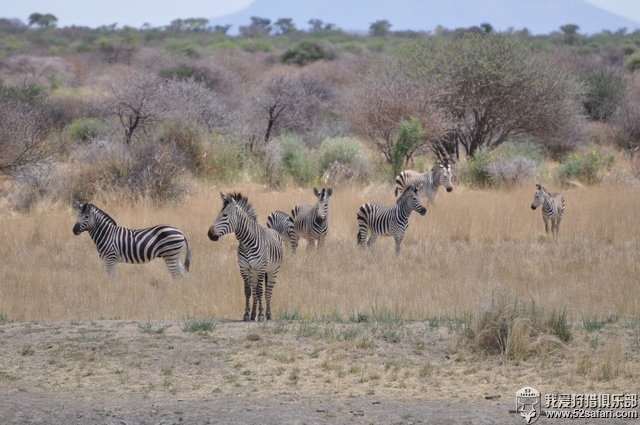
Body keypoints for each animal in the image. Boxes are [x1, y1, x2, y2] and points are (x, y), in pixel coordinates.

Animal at [209, 192, 284, 322]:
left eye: (224, 215)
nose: (209, 234)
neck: (246, 243)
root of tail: (273, 230)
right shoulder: (243, 268)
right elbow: (248, 291)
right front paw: (247, 314)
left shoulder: (261, 267)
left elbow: (260, 291)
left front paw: (261, 315)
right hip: (253, 271)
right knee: (254, 290)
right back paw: (253, 314)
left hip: (272, 270)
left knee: (268, 291)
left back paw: (268, 314)